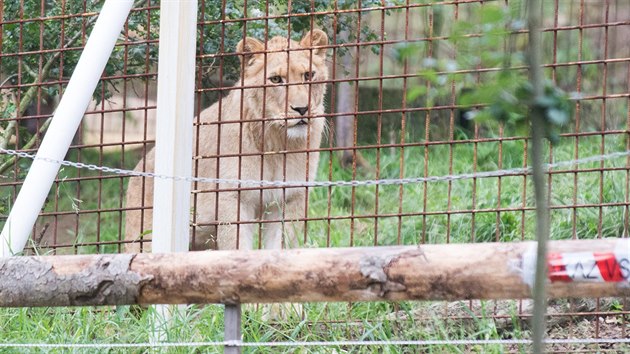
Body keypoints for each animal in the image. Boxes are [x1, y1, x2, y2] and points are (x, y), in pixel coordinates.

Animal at [124, 29, 330, 252]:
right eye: (276, 79)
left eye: (308, 75)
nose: (302, 109)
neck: (277, 143)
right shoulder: (232, 198)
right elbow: (237, 245)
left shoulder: (292, 197)